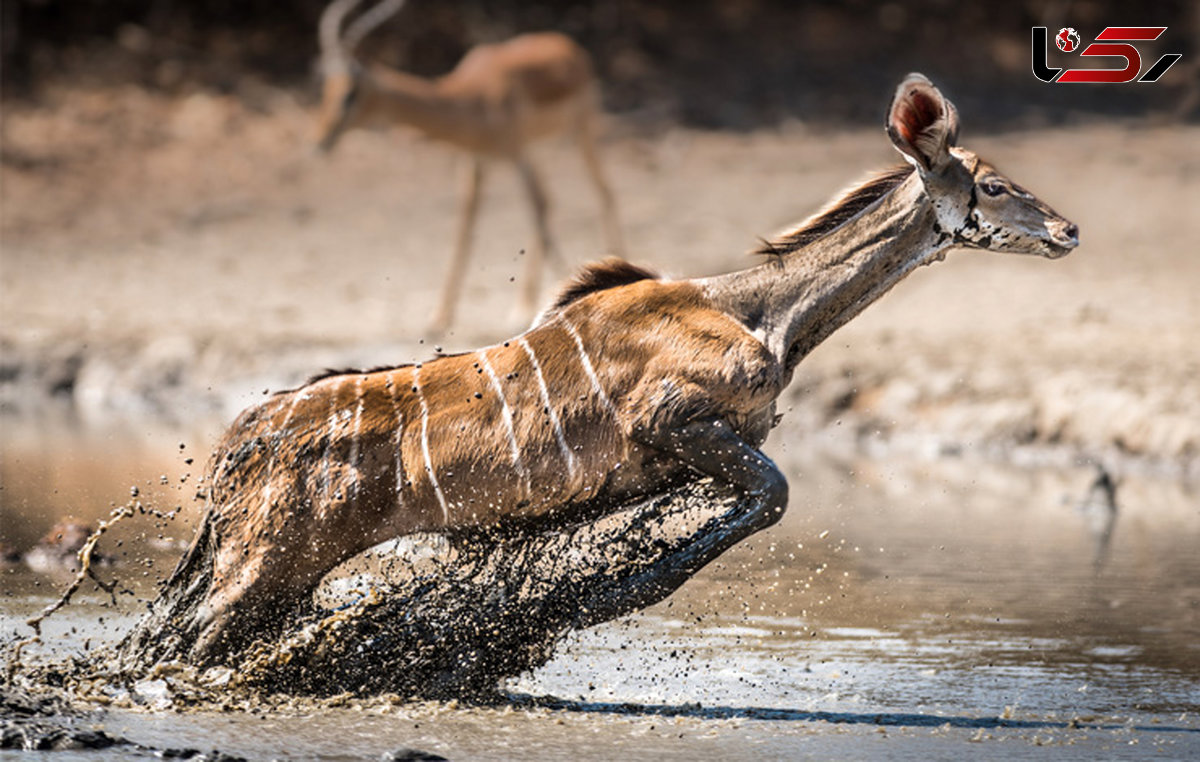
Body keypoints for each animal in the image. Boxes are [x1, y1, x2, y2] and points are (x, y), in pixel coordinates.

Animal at [147, 74, 1080, 667]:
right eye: (995, 186)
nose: (1070, 230)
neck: (757, 310)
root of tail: (237, 443)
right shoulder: (675, 424)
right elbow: (768, 500)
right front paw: (580, 605)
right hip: (266, 561)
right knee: (183, 643)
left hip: (275, 567)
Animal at [314, 0, 624, 333]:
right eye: (326, 90)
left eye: (350, 93)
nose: (320, 140)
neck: (473, 97)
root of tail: (568, 46)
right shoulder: (476, 161)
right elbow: (465, 225)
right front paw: (439, 317)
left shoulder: (515, 154)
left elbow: (536, 207)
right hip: (543, 146)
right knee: (554, 199)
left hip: (581, 131)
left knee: (599, 191)